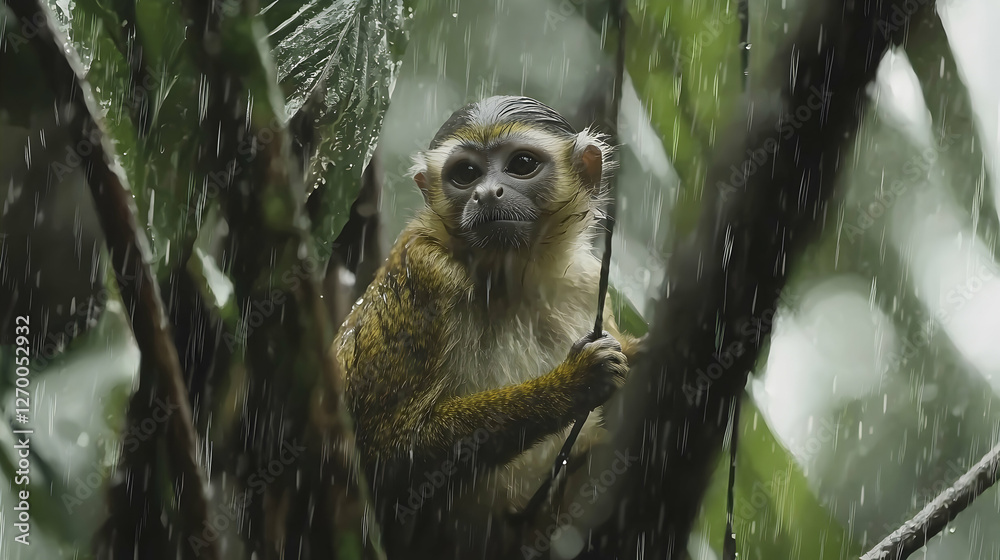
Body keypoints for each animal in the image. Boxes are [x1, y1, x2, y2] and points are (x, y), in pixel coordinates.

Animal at [331, 96, 639, 557]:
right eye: (466, 174)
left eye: (522, 164)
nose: (486, 193)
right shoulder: (426, 271)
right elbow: (384, 454)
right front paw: (572, 383)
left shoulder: (586, 282)